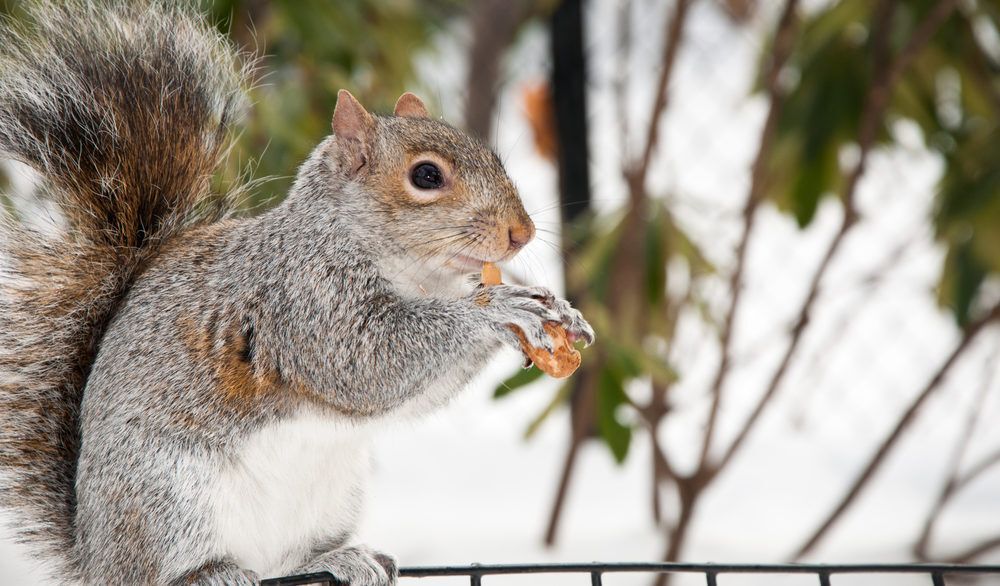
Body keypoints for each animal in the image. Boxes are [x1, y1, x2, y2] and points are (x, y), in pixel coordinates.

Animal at [0, 1, 594, 585]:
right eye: (426, 176)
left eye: (494, 157)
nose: (522, 233)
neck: (420, 276)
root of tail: (92, 554)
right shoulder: (305, 301)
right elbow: (367, 363)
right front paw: (498, 309)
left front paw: (557, 311)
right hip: (167, 497)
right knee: (158, 570)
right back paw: (209, 573)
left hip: (330, 500)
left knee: (290, 563)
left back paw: (340, 559)